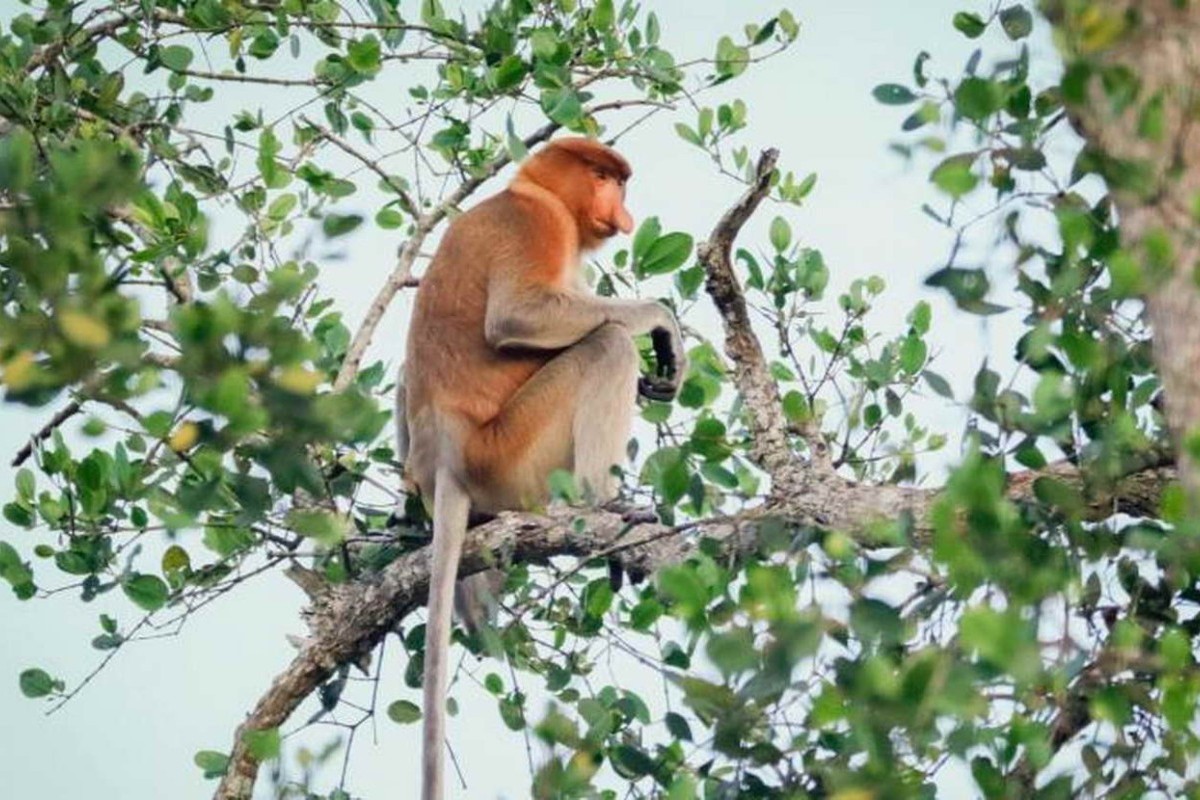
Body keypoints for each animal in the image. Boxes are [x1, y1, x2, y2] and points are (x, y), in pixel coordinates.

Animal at [403, 139, 686, 800]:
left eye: (619, 180)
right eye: (603, 176)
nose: (620, 206)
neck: (532, 189)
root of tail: (446, 462)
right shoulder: (537, 224)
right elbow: (519, 316)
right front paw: (662, 322)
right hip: (510, 451)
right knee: (605, 344)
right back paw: (605, 504)